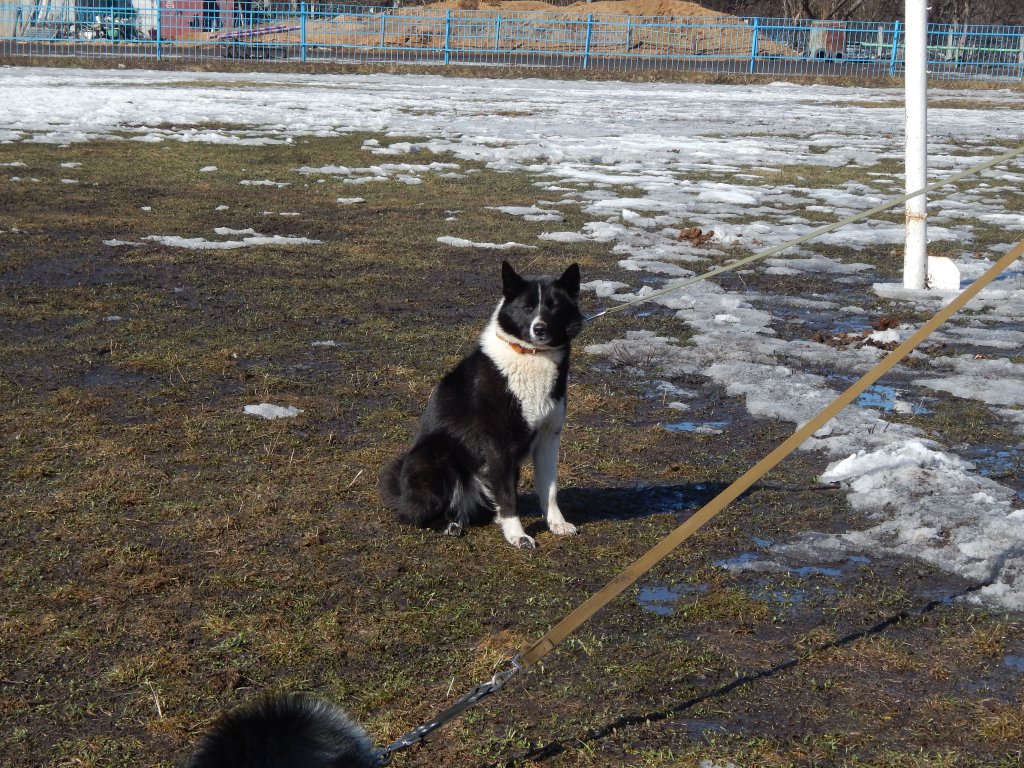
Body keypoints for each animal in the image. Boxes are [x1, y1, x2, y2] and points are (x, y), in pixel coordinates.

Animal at [380, 260, 583, 549]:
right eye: (527, 307)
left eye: (554, 306)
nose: (539, 328)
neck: (531, 356)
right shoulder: (497, 444)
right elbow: (508, 497)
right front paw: (518, 536)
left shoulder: (548, 439)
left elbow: (549, 489)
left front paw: (556, 524)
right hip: (437, 457)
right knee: (413, 514)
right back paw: (447, 525)